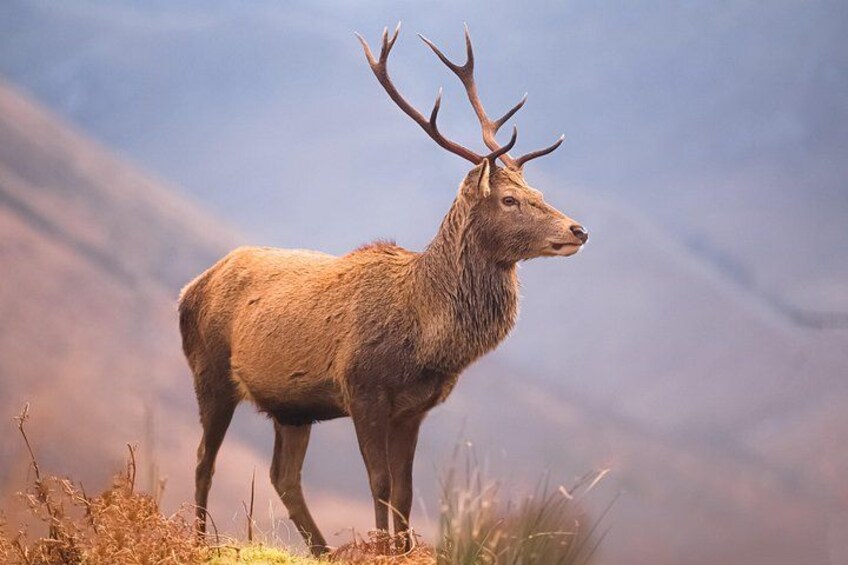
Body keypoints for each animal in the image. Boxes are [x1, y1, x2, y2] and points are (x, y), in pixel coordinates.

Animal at [178, 23, 588, 556]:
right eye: (509, 199)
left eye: (539, 193)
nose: (579, 230)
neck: (426, 339)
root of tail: (190, 289)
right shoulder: (363, 389)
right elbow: (379, 482)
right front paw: (381, 547)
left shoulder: (413, 409)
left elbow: (406, 490)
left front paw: (404, 546)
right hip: (209, 373)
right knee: (203, 459)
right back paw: (200, 540)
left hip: (292, 408)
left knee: (283, 477)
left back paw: (323, 551)